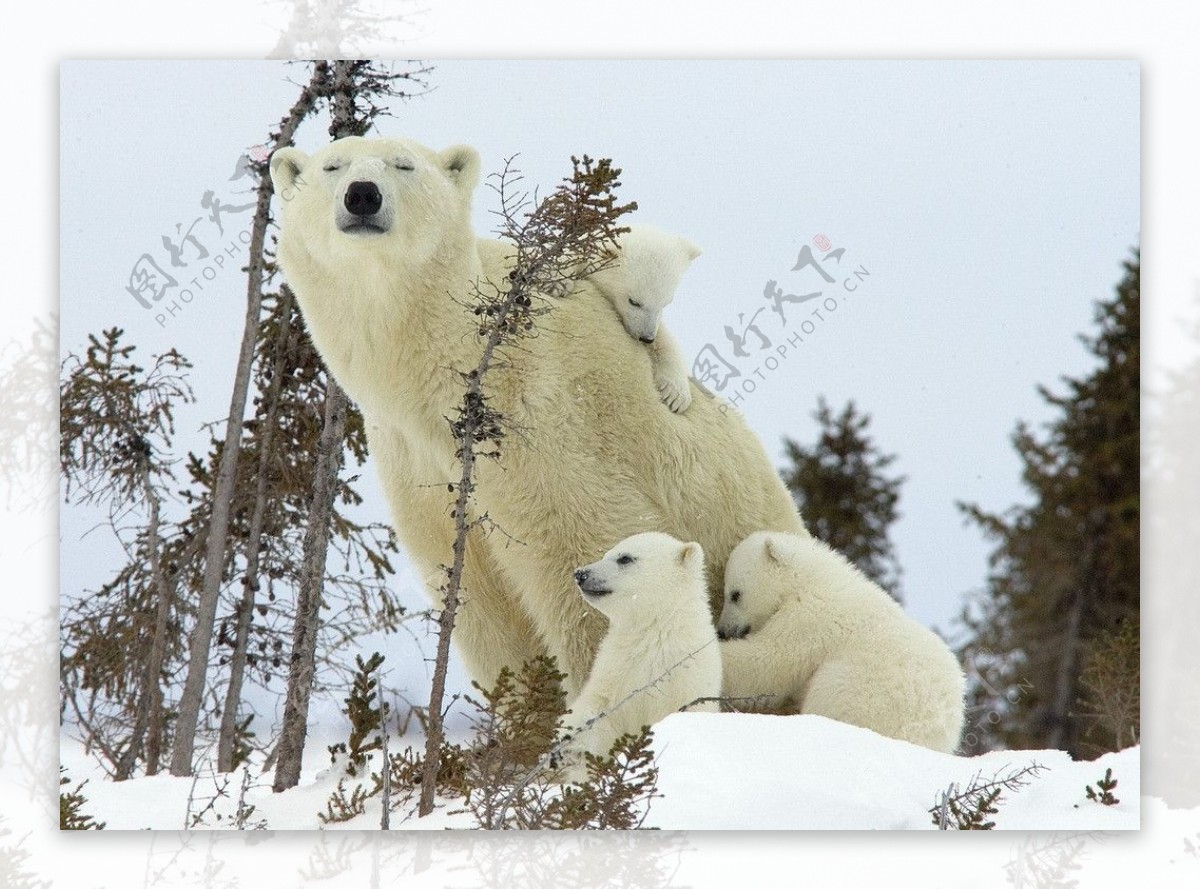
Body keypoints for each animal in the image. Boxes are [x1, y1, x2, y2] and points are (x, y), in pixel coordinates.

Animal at [272, 137, 806, 695]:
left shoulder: (545, 422)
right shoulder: (417, 462)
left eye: (404, 165)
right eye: (332, 166)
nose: (362, 195)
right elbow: (483, 606)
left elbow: (584, 559)